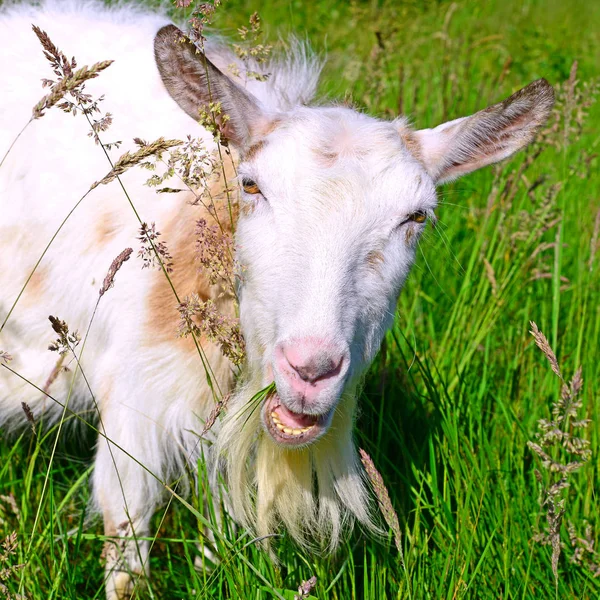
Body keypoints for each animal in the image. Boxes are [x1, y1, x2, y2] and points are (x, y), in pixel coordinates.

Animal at [0, 2, 552, 596]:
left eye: (416, 216)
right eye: (252, 186)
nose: (310, 369)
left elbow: (220, 527)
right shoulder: (132, 399)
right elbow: (128, 531)